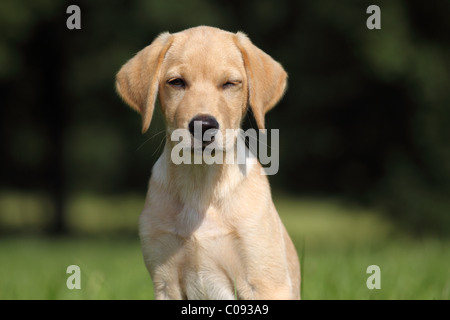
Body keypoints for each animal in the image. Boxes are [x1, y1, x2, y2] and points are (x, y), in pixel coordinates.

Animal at [116, 26, 300, 298]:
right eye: (176, 82)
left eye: (230, 83)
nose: (203, 126)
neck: (200, 182)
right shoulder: (165, 281)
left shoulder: (265, 281)